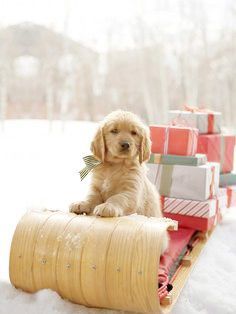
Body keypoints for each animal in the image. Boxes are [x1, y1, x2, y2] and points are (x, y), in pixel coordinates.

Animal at [69, 110, 169, 250]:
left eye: (134, 133)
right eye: (114, 131)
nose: (126, 144)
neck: (115, 165)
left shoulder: (130, 192)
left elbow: (117, 198)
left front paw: (107, 206)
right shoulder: (96, 187)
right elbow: (91, 197)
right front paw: (82, 203)